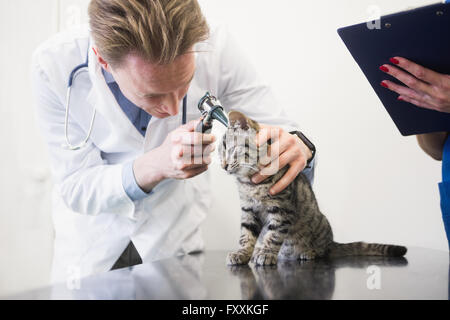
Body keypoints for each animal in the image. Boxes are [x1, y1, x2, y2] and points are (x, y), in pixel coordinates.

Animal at [220, 111, 406, 266]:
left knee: (323, 250)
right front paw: (242, 253)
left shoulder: (282, 209)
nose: (223, 166)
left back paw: (310, 252)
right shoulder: (248, 209)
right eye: (220, 153)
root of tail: (332, 242)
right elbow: (246, 235)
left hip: (320, 226)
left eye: (230, 149)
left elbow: (273, 234)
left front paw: (265, 253)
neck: (249, 182)